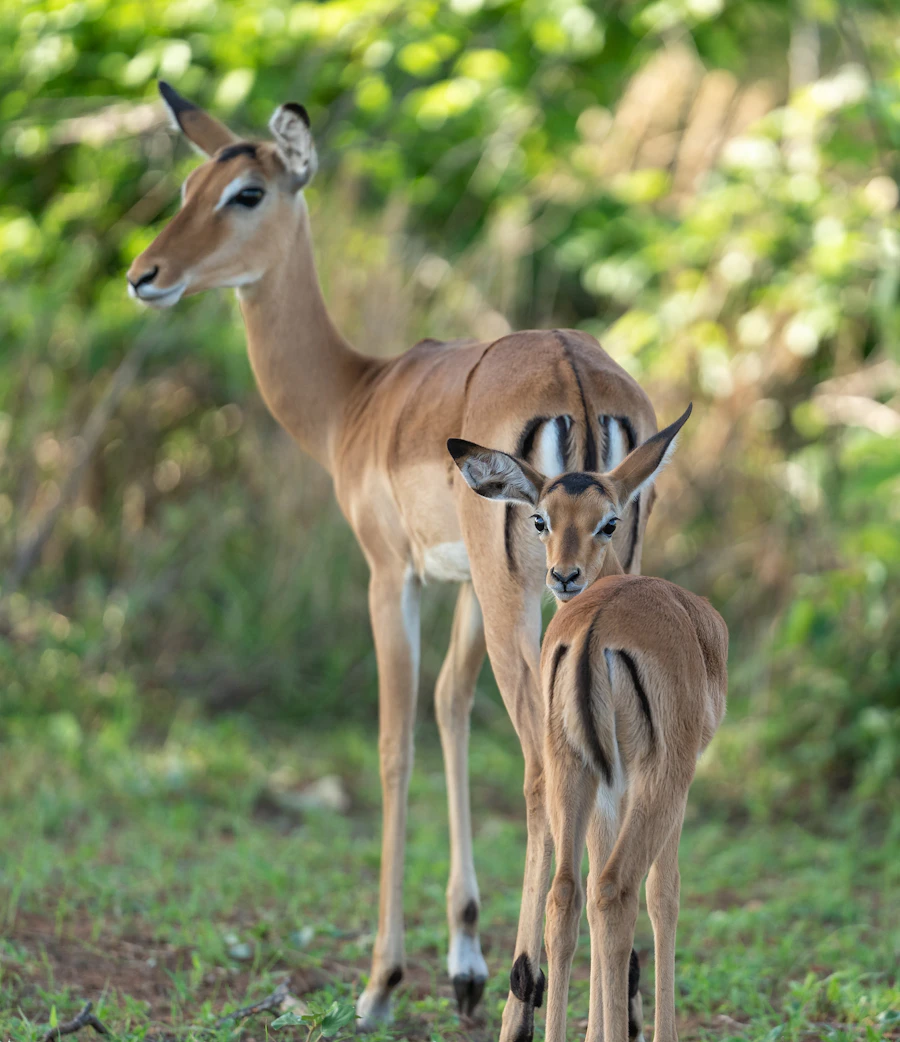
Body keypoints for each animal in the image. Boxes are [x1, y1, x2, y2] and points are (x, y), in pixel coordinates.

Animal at [126, 80, 660, 1037]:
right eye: (190, 182)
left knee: (538, 764)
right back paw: (613, 997)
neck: (356, 398)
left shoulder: (391, 575)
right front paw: (462, 962)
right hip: (583, 590)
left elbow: (393, 741)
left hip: (526, 600)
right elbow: (448, 710)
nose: (146, 275)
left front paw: (384, 980)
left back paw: (526, 994)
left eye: (247, 193)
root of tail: (580, 379)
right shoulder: (463, 587)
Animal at [450, 404, 728, 1042]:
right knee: (616, 890)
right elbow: (665, 897)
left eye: (607, 522)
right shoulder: (667, 785)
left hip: (570, 770)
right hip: (659, 783)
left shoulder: (607, 786)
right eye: (542, 520)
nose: (563, 576)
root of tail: (597, 627)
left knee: (566, 895)